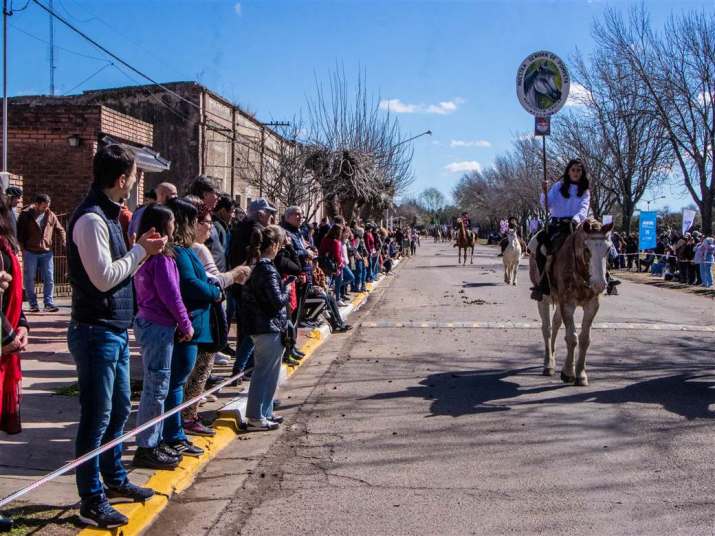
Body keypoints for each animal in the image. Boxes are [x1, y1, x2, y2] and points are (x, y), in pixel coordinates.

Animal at [524, 218, 616, 386]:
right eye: (587, 249)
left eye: (608, 249)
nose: (599, 284)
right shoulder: (567, 304)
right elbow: (572, 338)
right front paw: (568, 373)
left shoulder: (592, 305)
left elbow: (584, 339)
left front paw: (581, 374)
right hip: (544, 299)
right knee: (547, 329)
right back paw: (548, 364)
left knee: (555, 324)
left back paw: (553, 357)